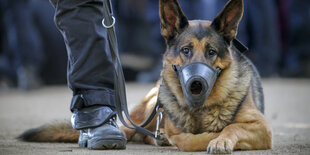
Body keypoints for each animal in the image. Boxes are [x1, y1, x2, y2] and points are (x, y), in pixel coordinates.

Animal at [19, 0, 272, 153]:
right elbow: (188, 139)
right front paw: (205, 136)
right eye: (186, 51)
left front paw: (220, 138)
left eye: (211, 52)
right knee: (127, 130)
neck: (201, 110)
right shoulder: (175, 130)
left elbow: (232, 127)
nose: (196, 81)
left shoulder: (262, 128)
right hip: (145, 111)